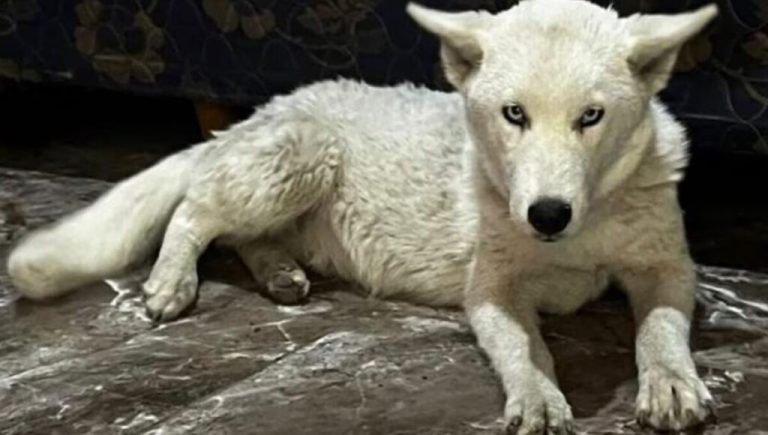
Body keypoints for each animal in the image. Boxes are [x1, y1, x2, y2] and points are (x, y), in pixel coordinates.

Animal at [7, 0, 718, 433]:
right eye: (513, 114)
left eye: (591, 116)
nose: (546, 215)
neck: (583, 228)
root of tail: (266, 107)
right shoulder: (491, 289)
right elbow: (525, 345)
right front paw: (540, 393)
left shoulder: (667, 268)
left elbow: (660, 328)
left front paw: (670, 383)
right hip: (299, 156)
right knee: (195, 213)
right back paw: (171, 282)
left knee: (242, 237)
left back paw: (280, 274)